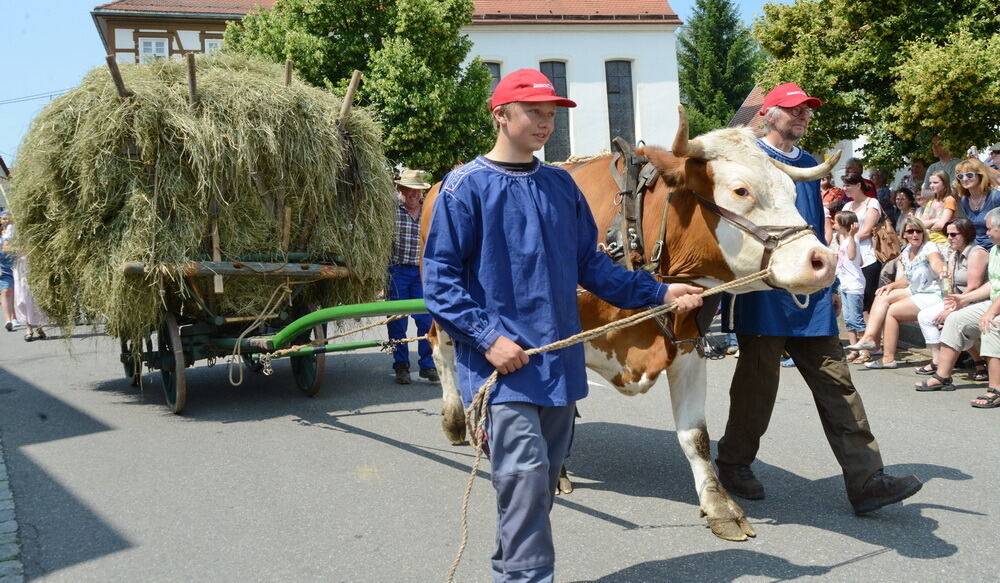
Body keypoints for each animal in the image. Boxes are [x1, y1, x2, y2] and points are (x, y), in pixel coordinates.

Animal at [420, 108, 836, 544]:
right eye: (741, 191)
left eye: (792, 193)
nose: (823, 260)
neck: (639, 233)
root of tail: (441, 181)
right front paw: (556, 471)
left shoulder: (686, 343)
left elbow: (696, 435)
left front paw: (719, 506)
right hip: (441, 299)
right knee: (442, 348)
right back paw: (456, 420)